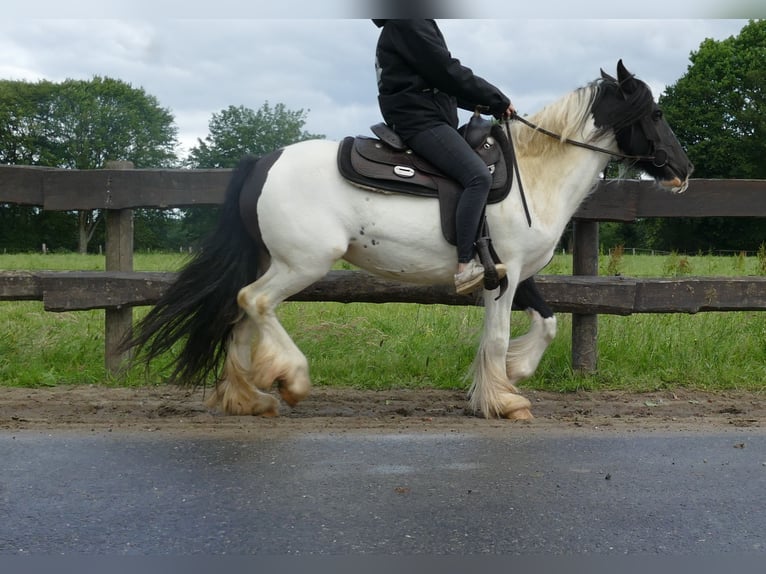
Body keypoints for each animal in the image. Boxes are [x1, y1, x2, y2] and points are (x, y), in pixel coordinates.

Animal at [124, 63, 696, 420]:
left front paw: (512, 375)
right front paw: (503, 400)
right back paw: (292, 379)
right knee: (253, 302)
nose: (684, 169)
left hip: (275, 261)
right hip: (301, 263)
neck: (534, 174)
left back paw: (249, 398)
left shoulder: (513, 272)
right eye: (657, 114)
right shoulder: (504, 275)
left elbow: (549, 323)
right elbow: (496, 338)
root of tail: (263, 162)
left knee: (241, 315)